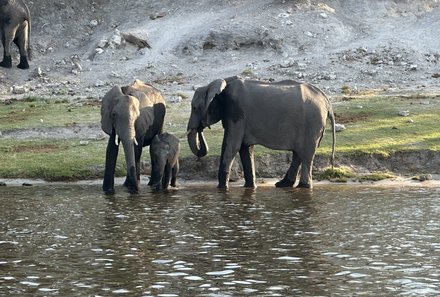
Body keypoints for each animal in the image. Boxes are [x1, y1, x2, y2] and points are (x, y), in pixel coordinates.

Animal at [186, 75, 336, 188]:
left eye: (194, 108)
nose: (200, 128)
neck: (221, 84)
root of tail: (326, 100)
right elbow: (245, 149)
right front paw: (250, 187)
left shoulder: (236, 112)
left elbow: (231, 146)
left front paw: (221, 188)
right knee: (298, 153)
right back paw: (283, 184)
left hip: (312, 123)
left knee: (306, 155)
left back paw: (303, 186)